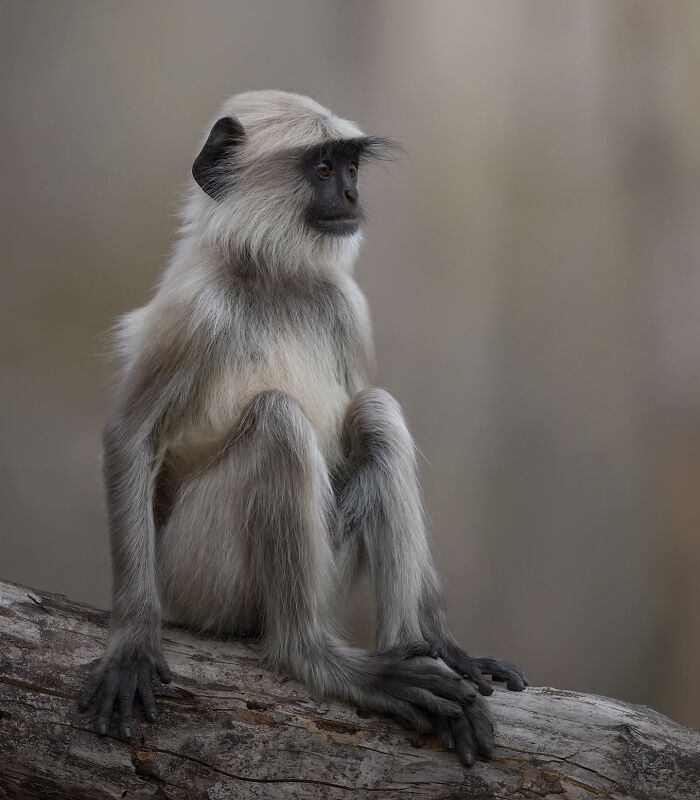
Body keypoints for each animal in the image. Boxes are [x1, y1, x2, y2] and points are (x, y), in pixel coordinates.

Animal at [78, 90, 526, 767]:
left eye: (351, 167)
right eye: (322, 168)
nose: (352, 194)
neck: (272, 276)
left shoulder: (347, 306)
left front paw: (449, 645)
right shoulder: (195, 313)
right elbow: (131, 439)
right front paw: (130, 642)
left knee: (377, 414)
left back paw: (417, 646)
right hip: (194, 577)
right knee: (278, 421)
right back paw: (319, 658)